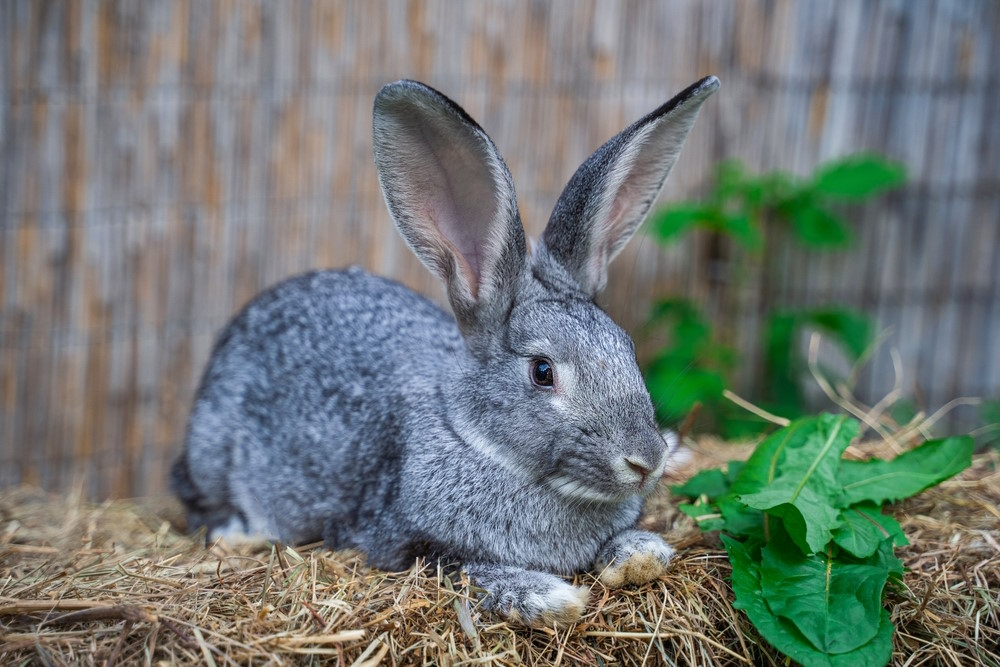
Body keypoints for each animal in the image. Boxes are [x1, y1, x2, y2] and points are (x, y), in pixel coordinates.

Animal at [171, 75, 719, 627]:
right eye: (542, 371)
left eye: (626, 346)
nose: (646, 460)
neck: (476, 440)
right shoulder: (401, 541)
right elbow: (466, 569)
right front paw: (547, 597)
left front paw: (640, 554)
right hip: (212, 449)